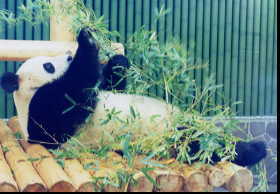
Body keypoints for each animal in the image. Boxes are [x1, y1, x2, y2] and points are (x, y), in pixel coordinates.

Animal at [0, 27, 266, 167]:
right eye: (48, 66)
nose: (67, 56)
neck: (28, 96)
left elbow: (109, 85)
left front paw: (118, 60)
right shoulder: (44, 113)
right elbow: (74, 93)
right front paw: (87, 40)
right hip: (172, 137)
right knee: (205, 146)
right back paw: (256, 149)